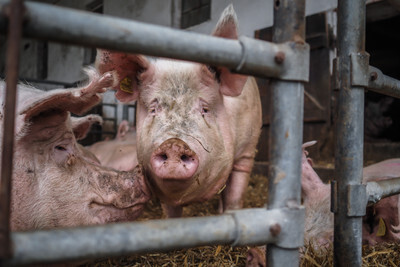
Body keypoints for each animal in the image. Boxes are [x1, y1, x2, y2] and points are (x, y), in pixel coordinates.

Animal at [94, 4, 262, 218]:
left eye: (205, 109)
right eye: (153, 109)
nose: (174, 144)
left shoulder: (247, 152)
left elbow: (234, 200)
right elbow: (171, 213)